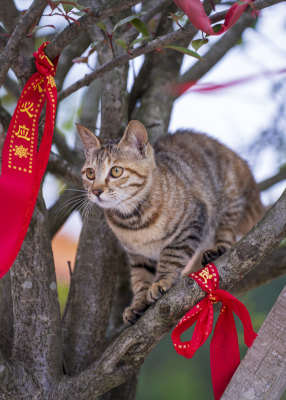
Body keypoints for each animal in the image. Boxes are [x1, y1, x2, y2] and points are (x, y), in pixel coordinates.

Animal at [76, 119, 264, 324]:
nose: (96, 191)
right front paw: (138, 303)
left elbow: (172, 256)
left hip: (229, 202)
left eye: (116, 171)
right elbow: (140, 278)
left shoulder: (192, 221)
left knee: (227, 233)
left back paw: (217, 249)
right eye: (90, 173)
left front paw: (162, 281)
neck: (133, 219)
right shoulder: (138, 255)